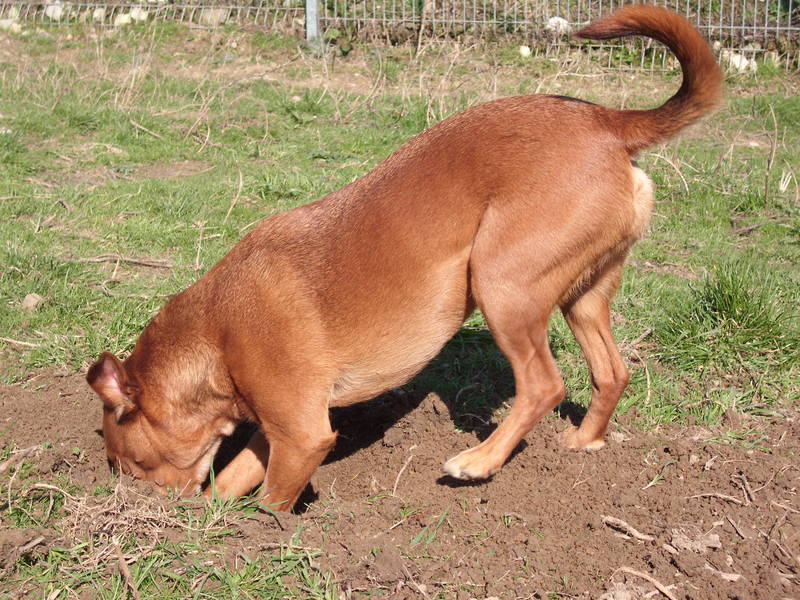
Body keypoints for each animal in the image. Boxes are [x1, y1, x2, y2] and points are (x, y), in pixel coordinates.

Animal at [87, 4, 723, 511]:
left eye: (131, 464)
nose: (145, 509)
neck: (215, 331)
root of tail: (605, 122)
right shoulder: (279, 430)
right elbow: (237, 477)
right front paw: (215, 521)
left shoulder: (302, 434)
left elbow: (271, 498)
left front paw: (258, 530)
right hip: (584, 295)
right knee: (611, 372)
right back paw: (583, 443)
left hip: (502, 284)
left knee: (544, 386)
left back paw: (478, 461)